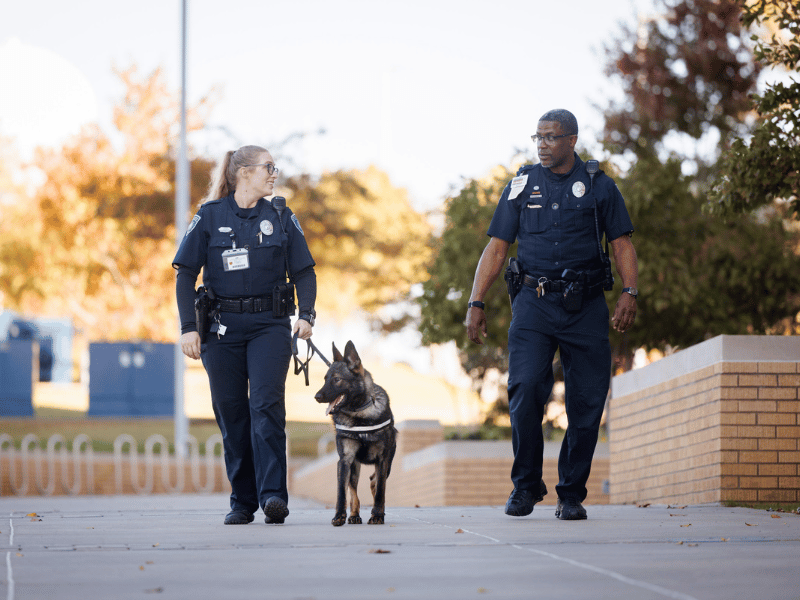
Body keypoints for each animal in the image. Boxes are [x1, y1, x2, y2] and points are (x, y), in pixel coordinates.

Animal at [316, 342, 396, 524]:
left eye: (337, 379)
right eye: (325, 379)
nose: (317, 396)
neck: (359, 415)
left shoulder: (382, 459)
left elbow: (380, 491)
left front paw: (377, 514)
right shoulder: (345, 461)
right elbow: (342, 492)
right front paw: (339, 515)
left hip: (386, 465)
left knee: (375, 482)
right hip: (353, 467)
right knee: (354, 491)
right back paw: (354, 515)